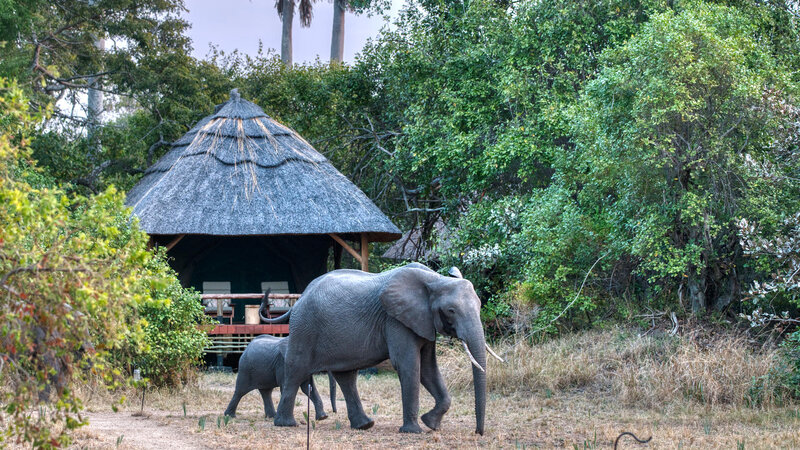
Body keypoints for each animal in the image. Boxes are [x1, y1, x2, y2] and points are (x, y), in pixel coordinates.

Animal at [262, 262, 496, 434]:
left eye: (479, 305)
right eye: (451, 310)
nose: (478, 432)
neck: (435, 279)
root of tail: (301, 296)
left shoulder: (423, 321)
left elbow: (429, 368)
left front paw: (431, 424)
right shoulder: (395, 320)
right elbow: (409, 365)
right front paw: (413, 431)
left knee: (346, 376)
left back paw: (364, 425)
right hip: (304, 327)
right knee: (296, 369)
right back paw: (285, 424)